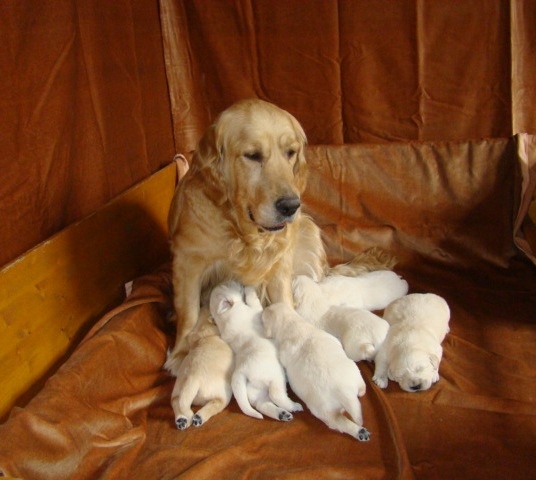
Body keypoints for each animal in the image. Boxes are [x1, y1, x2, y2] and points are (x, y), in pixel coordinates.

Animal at [169, 99, 394, 362]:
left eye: (290, 152)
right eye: (252, 155)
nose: (290, 206)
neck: (244, 230)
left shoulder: (279, 260)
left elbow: (283, 299)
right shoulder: (188, 262)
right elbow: (188, 311)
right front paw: (182, 350)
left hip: (308, 228)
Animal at [209, 282, 302, 420]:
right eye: (229, 285)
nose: (239, 282)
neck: (223, 317)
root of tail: (240, 372)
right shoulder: (255, 310)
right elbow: (253, 300)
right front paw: (250, 288)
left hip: (254, 391)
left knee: (262, 404)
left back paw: (282, 414)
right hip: (275, 376)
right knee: (277, 396)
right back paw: (293, 406)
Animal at [262, 304, 370, 442]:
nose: (262, 310)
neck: (293, 323)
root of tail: (344, 392)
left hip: (323, 410)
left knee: (338, 422)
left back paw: (359, 431)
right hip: (354, 371)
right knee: (362, 388)